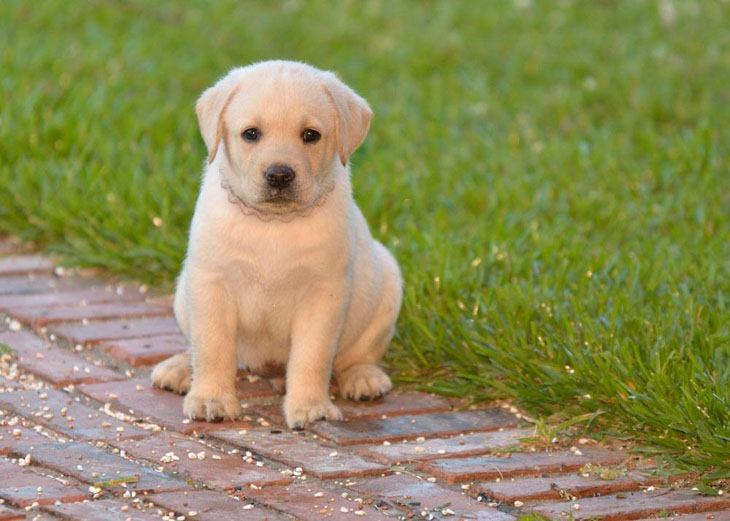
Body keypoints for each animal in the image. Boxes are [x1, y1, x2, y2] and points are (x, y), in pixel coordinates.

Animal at [150, 60, 400, 426]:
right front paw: (211, 398)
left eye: (311, 135)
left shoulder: (323, 293)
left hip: (387, 288)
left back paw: (363, 377)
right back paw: (181, 368)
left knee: (357, 354)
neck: (274, 223)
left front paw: (310, 406)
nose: (279, 175)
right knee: (197, 345)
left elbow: (312, 355)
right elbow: (213, 346)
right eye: (251, 134)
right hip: (183, 294)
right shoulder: (212, 282)